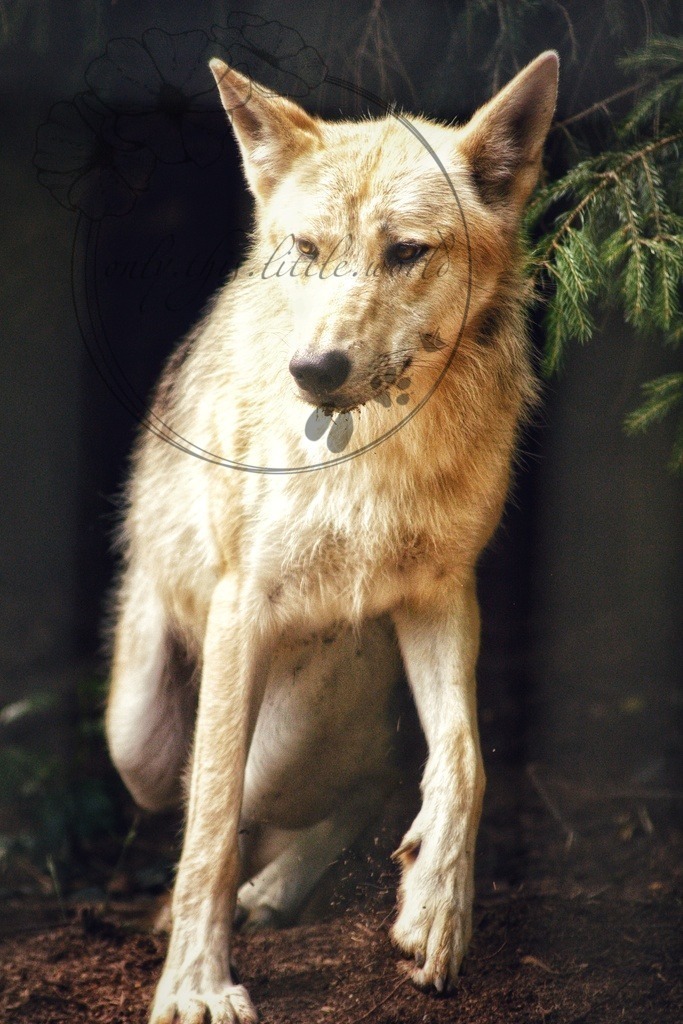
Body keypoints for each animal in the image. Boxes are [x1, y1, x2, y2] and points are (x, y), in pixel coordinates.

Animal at [105, 50, 558, 1023]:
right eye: (307, 251)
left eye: (406, 252)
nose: (313, 371)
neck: (372, 451)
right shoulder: (242, 608)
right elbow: (206, 834)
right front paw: (196, 984)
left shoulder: (441, 593)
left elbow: (463, 763)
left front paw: (436, 914)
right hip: (143, 739)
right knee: (214, 799)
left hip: (294, 739)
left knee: (377, 774)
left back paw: (285, 893)